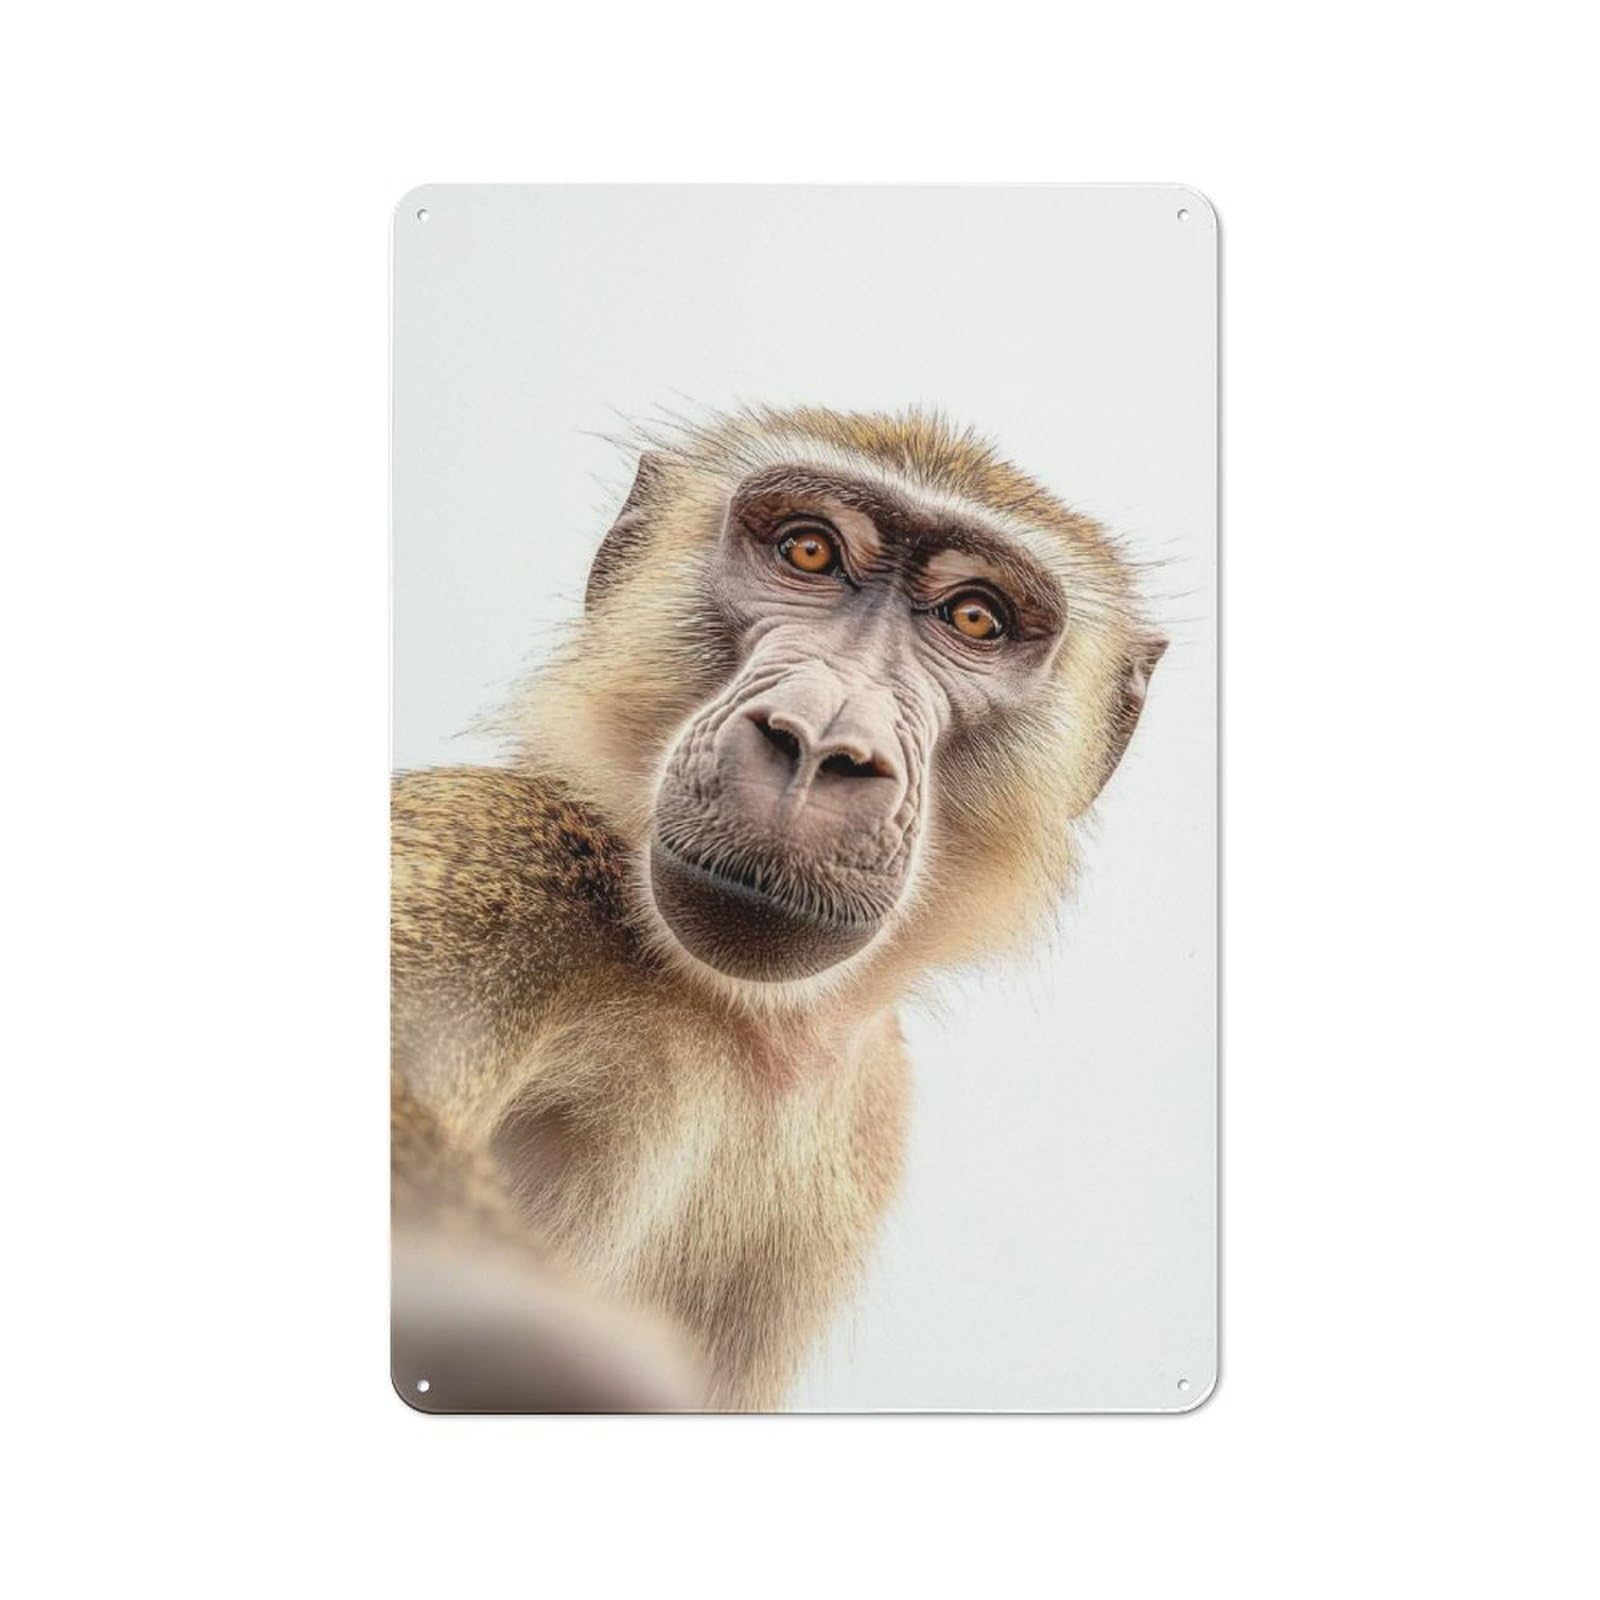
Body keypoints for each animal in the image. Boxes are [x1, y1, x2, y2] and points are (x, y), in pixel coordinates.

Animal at [392, 406, 1166, 1411]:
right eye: (810, 553)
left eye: (973, 617)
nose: (822, 740)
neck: (743, 1020)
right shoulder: (504, 858)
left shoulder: (867, 1109)